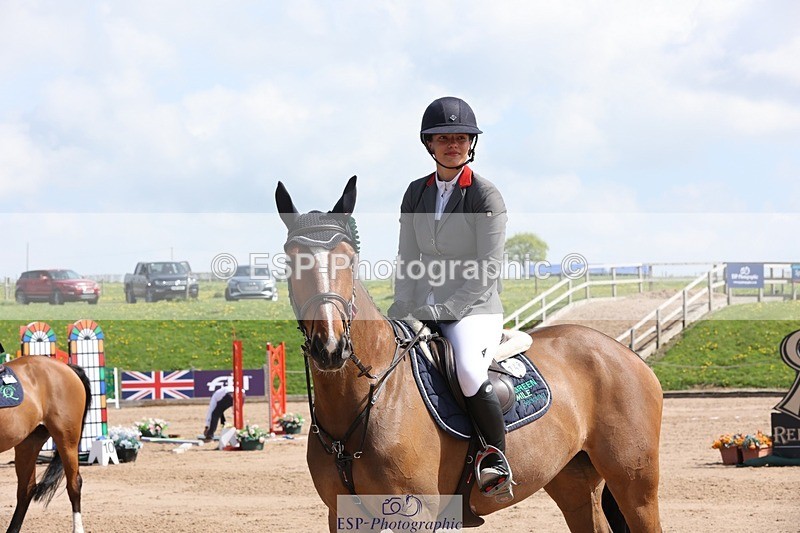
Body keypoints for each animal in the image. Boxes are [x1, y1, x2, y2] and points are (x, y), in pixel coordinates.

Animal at [275, 176, 663, 532]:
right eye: (291, 262)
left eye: (349, 259)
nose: (331, 348)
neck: (368, 397)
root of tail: (622, 351)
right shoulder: (341, 515)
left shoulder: (415, 515)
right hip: (574, 482)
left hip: (635, 484)